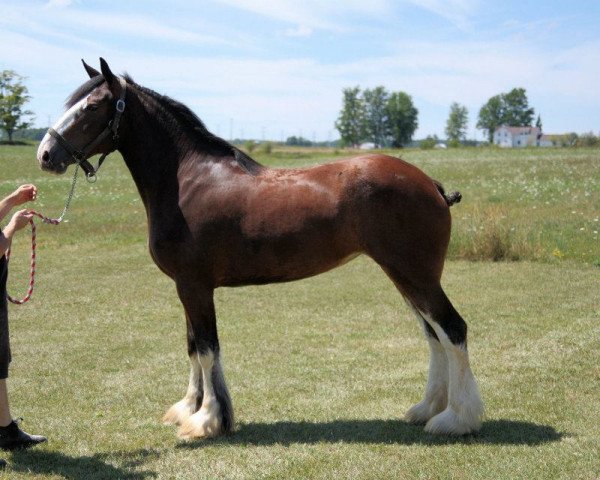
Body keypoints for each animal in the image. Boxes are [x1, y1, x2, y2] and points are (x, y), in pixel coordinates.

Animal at [36, 59, 482, 438]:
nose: (45, 153)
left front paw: (207, 420)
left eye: (92, 106)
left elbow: (206, 350)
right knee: (434, 335)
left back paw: (456, 420)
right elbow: (192, 347)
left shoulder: (195, 286)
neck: (187, 180)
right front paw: (189, 408)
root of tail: (432, 186)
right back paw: (425, 410)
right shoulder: (185, 288)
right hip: (404, 277)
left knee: (452, 330)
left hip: (415, 275)